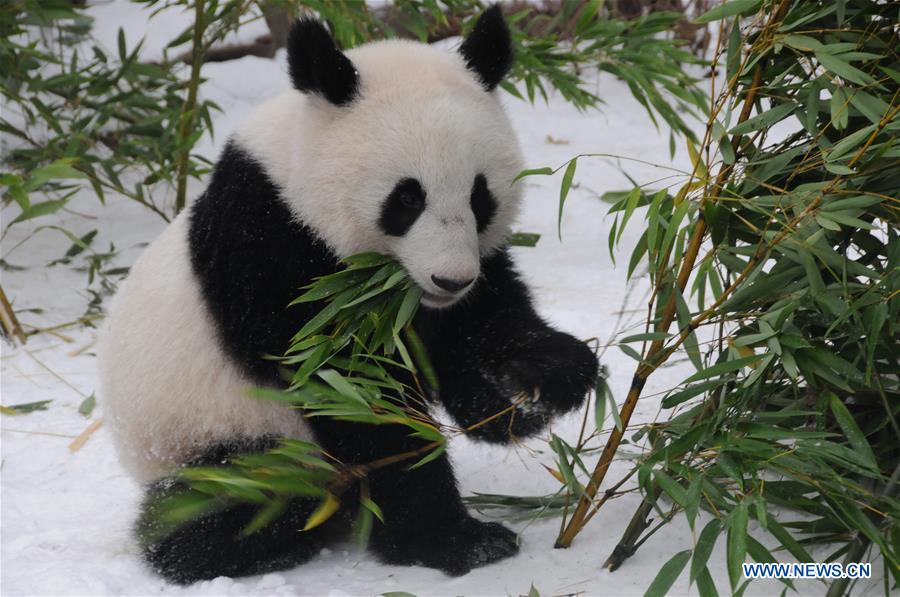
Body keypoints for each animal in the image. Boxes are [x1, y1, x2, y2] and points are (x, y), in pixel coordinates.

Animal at [98, 3, 596, 584]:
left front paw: (540, 383)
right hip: (207, 433)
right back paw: (255, 540)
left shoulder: (459, 276)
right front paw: (455, 540)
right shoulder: (272, 250)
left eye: (480, 197)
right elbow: (353, 395)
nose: (451, 280)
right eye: (406, 199)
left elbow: (481, 327)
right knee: (234, 495)